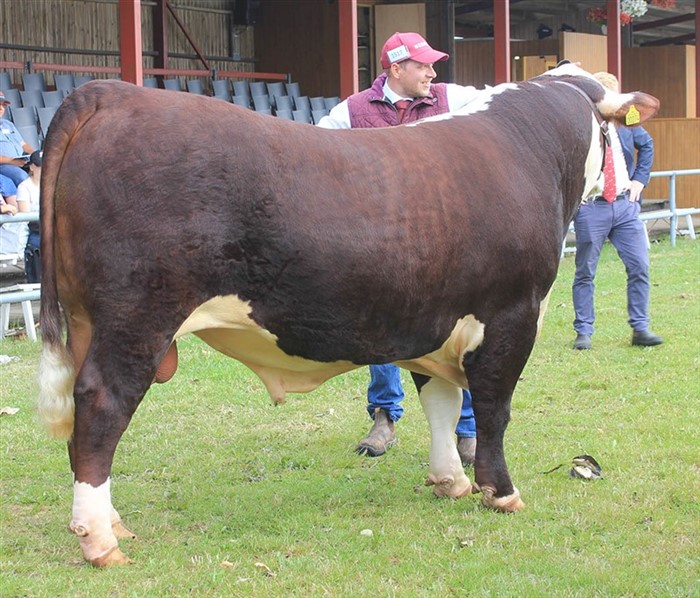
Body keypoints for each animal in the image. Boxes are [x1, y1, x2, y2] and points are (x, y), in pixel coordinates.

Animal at [35, 64, 660, 568]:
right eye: (617, 136)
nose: (623, 189)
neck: (529, 151)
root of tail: (110, 92)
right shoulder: (511, 314)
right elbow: (494, 409)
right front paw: (500, 492)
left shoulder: (431, 320)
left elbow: (441, 402)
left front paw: (449, 481)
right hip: (138, 318)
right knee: (102, 406)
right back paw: (99, 541)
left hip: (92, 323)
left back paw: (114, 525)